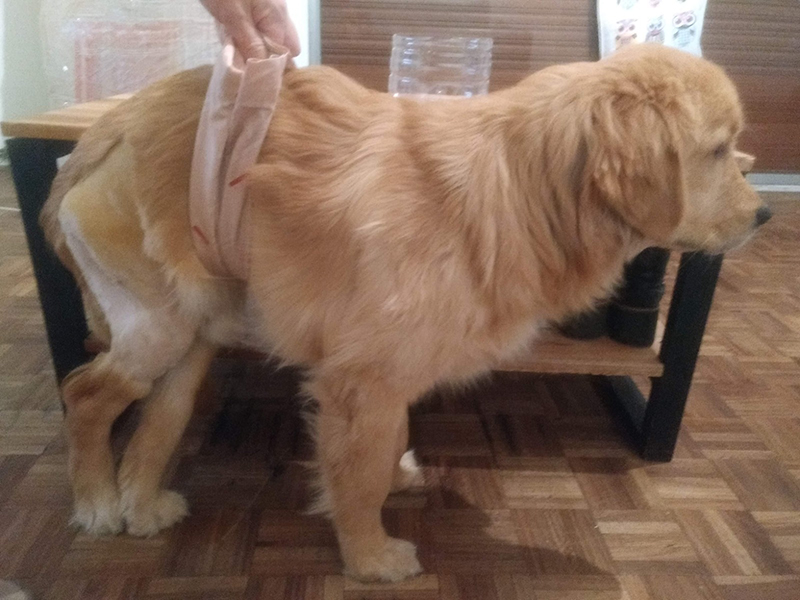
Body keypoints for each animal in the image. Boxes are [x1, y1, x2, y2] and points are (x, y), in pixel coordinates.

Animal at [42, 44, 767, 582]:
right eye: (716, 150)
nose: (765, 213)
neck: (521, 188)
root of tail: (108, 127)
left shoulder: (389, 372)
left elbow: (384, 446)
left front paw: (396, 481)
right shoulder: (362, 378)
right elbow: (360, 474)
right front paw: (370, 557)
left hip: (192, 336)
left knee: (157, 419)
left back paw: (141, 505)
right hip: (157, 327)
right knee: (83, 394)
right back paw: (98, 504)